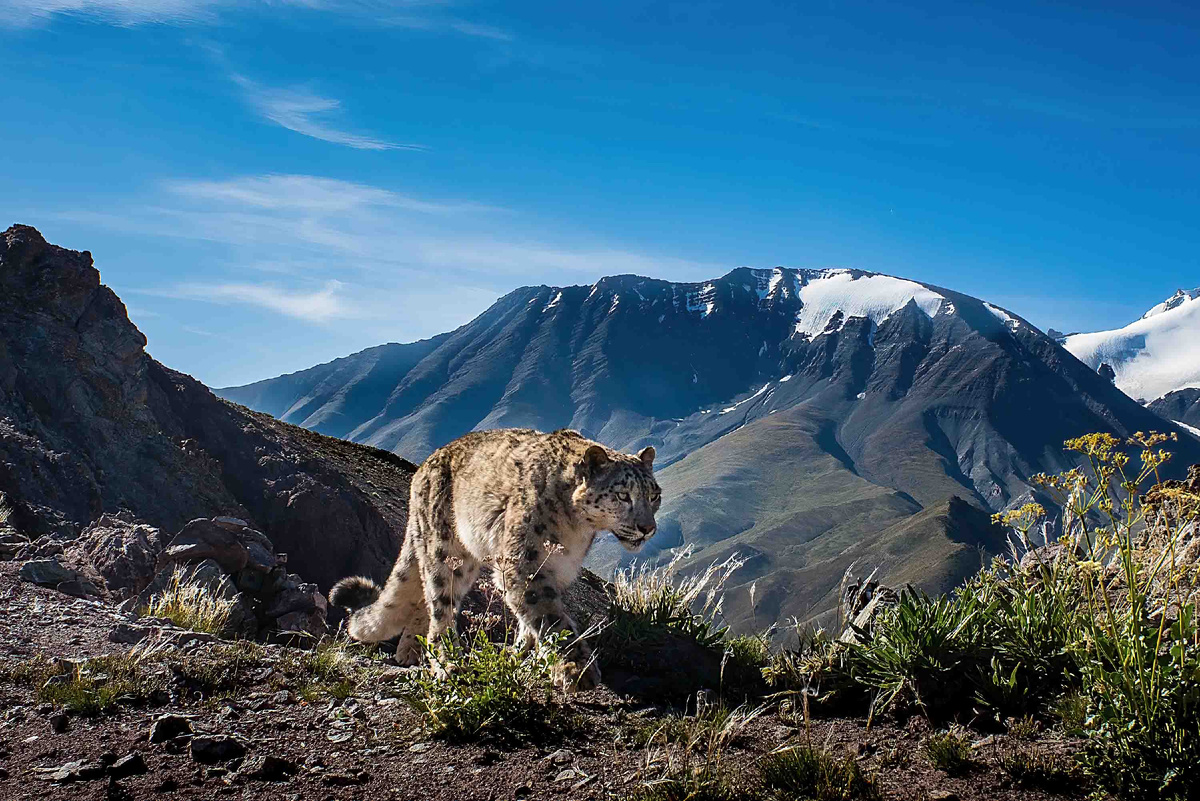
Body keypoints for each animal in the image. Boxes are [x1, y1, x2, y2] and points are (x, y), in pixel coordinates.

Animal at [329, 428, 660, 691]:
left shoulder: (557, 570)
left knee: (424, 600)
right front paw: (575, 669)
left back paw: (410, 650)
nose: (648, 528)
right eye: (622, 495)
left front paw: (524, 655)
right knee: (440, 608)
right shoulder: (523, 567)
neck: (577, 531)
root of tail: (422, 470)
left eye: (654, 495)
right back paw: (447, 664)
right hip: (446, 553)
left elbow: (532, 620)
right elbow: (551, 620)